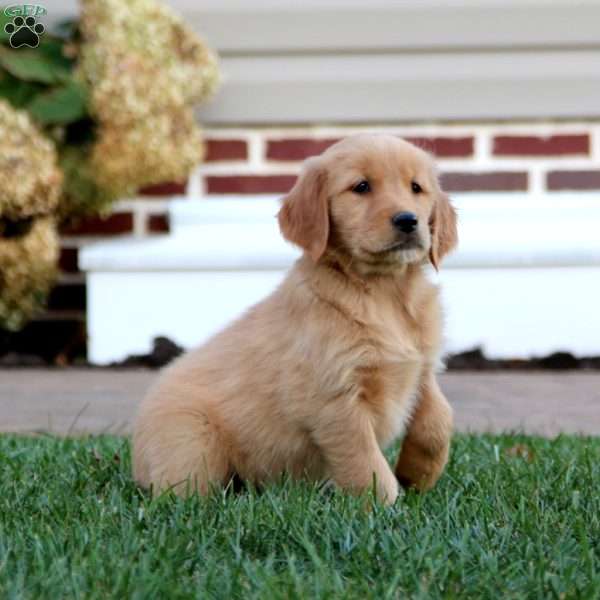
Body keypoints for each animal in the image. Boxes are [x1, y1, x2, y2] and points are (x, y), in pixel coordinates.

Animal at [134, 134, 458, 504]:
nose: (408, 220)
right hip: (191, 444)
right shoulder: (335, 400)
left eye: (416, 188)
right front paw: (386, 508)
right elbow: (366, 465)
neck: (383, 291)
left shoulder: (421, 367)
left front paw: (418, 473)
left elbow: (439, 420)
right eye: (361, 187)